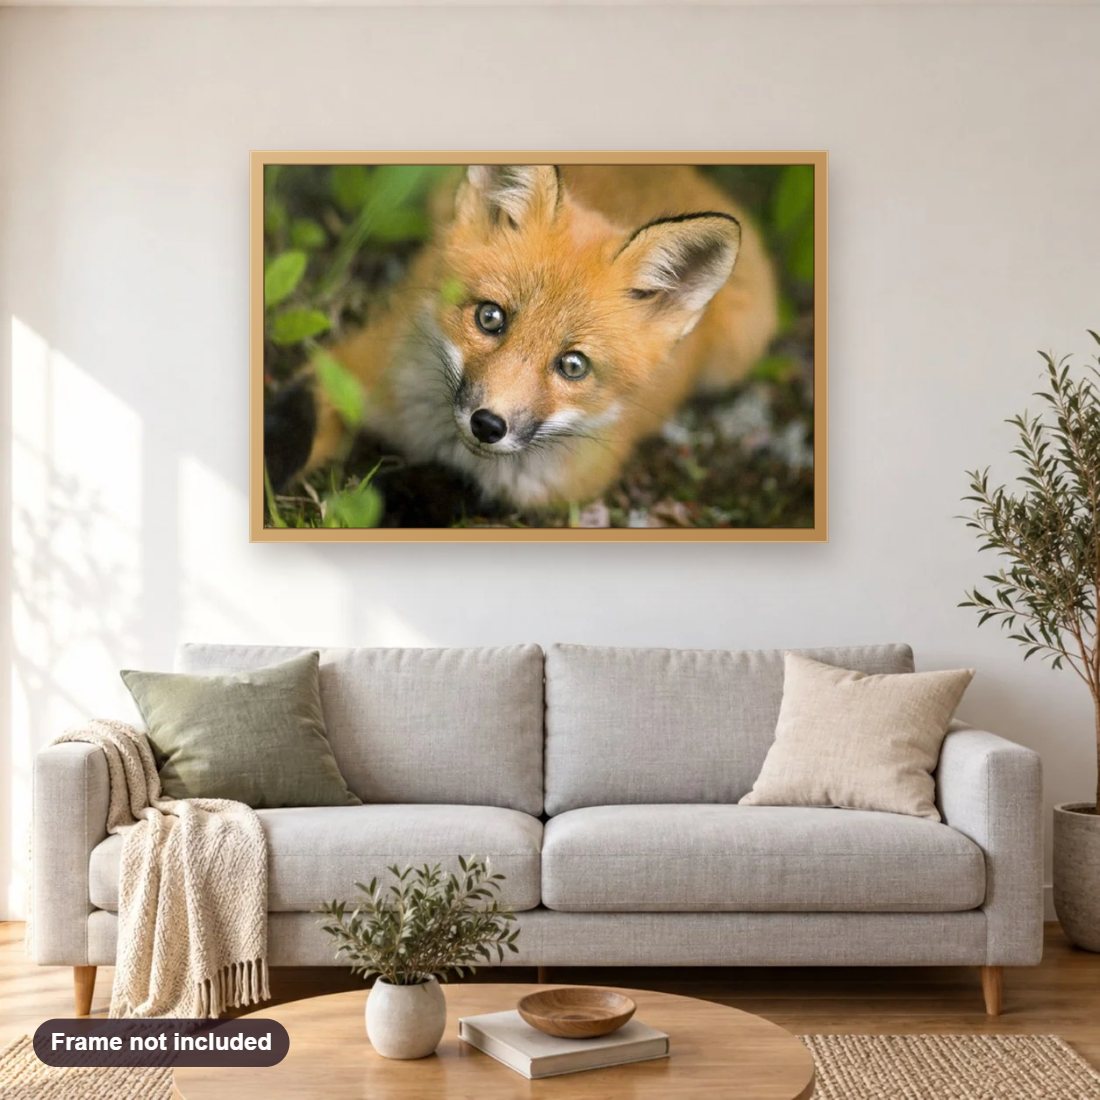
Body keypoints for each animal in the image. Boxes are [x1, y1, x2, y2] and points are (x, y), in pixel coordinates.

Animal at [268, 164, 779, 511]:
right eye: (490, 317)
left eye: (573, 365)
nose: (488, 425)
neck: (442, 442)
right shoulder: (351, 368)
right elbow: (289, 429)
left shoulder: (547, 493)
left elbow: (449, 488)